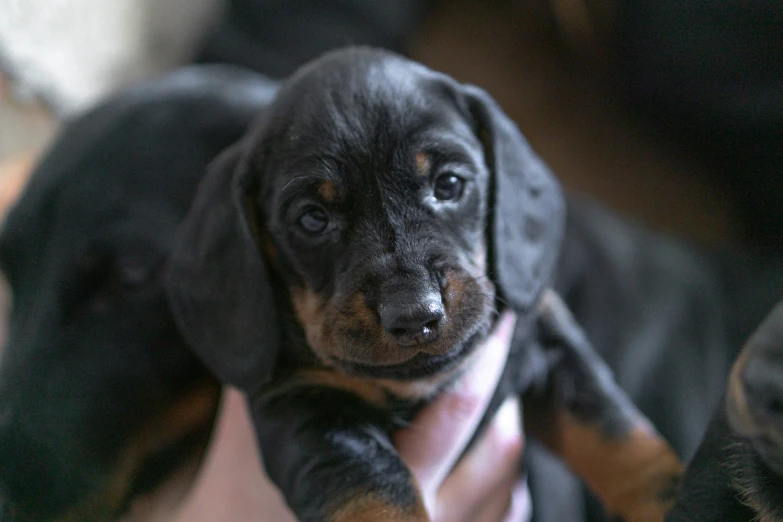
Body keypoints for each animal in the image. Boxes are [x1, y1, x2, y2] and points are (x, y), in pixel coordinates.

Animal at [167, 45, 688, 520]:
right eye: (312, 218)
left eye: (449, 185)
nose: (416, 313)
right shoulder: (307, 409)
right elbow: (375, 491)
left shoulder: (545, 337)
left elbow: (616, 432)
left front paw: (673, 497)